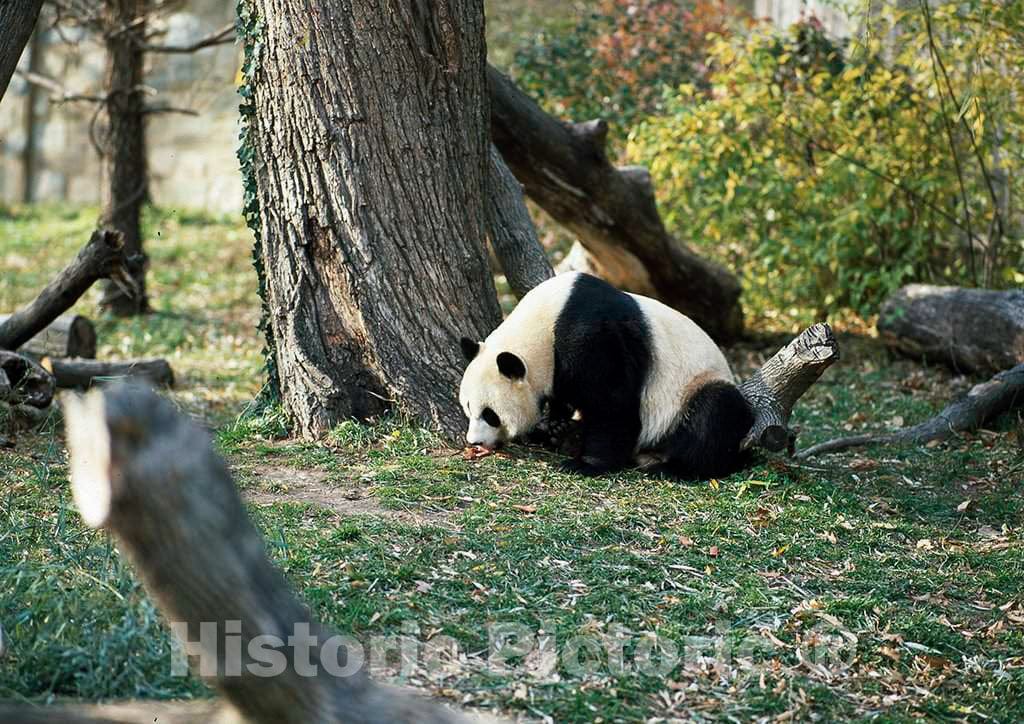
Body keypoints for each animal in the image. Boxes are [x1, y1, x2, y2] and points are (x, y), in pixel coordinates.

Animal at [458, 271, 754, 480]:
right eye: (468, 408)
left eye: (490, 414)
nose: (474, 441)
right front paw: (555, 424)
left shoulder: (590, 334)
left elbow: (612, 402)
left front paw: (585, 464)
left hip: (692, 389)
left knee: (714, 411)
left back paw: (673, 468)